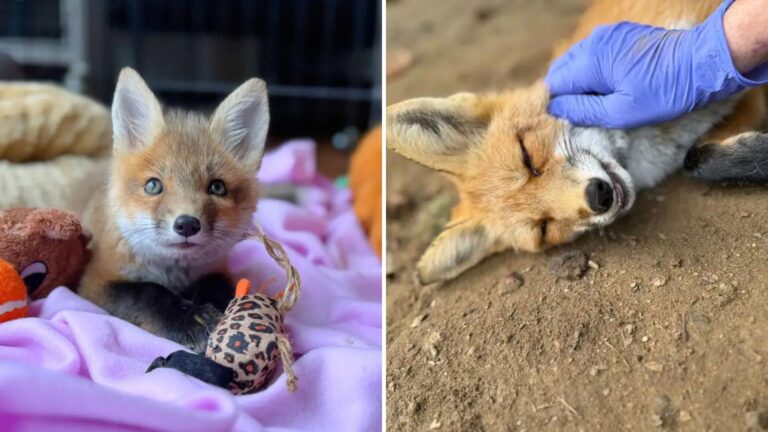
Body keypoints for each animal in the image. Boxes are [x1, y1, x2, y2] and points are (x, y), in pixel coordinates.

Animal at [74, 68, 269, 352]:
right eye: (153, 185)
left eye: (218, 187)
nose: (187, 224)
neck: (173, 275)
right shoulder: (93, 281)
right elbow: (147, 292)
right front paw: (188, 318)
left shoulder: (217, 268)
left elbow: (221, 286)